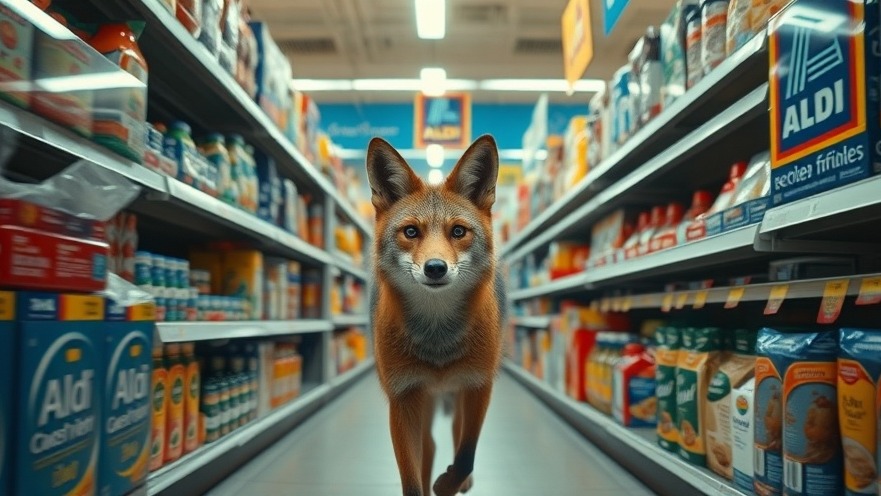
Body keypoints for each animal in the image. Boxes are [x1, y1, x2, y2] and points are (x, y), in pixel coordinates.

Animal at [362, 135, 502, 496]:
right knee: (430, 448)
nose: (435, 268)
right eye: (411, 232)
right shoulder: (403, 398)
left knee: (453, 439)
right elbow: (412, 481)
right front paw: (433, 485)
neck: (438, 345)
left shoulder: (478, 387)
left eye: (458, 232)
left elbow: (466, 453)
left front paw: (450, 483)